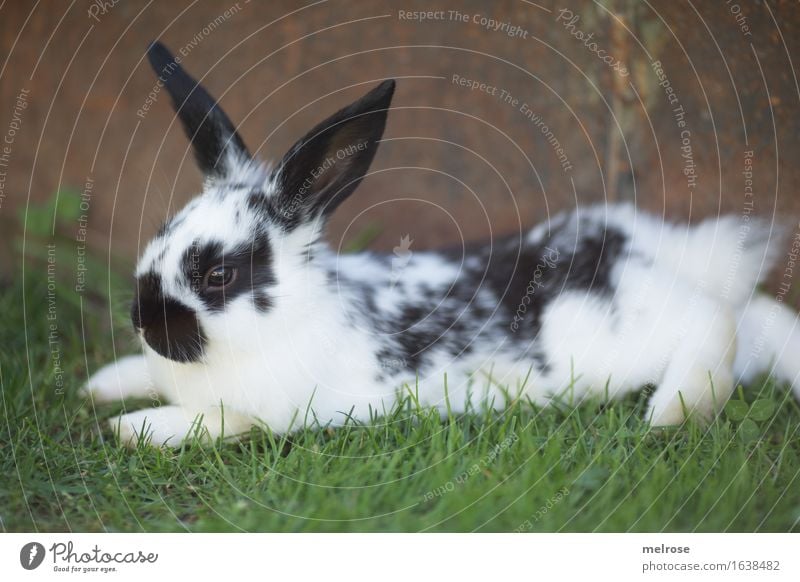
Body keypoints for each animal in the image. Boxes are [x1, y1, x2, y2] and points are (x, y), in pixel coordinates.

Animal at [83, 42, 800, 452]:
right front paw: (101, 386)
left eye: (219, 275)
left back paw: (673, 412)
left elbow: (221, 424)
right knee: (757, 318)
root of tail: (657, 245)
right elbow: (142, 375)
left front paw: (134, 429)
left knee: (716, 323)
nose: (143, 319)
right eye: (157, 239)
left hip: (638, 327)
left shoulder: (277, 413)